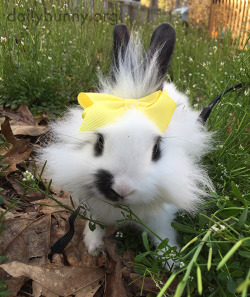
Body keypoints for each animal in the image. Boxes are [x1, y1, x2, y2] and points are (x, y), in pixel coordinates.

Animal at [38, 23, 213, 260]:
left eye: (157, 149)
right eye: (99, 143)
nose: (122, 189)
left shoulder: (161, 219)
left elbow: (164, 239)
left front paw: (172, 262)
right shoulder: (96, 209)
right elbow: (96, 226)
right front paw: (93, 247)